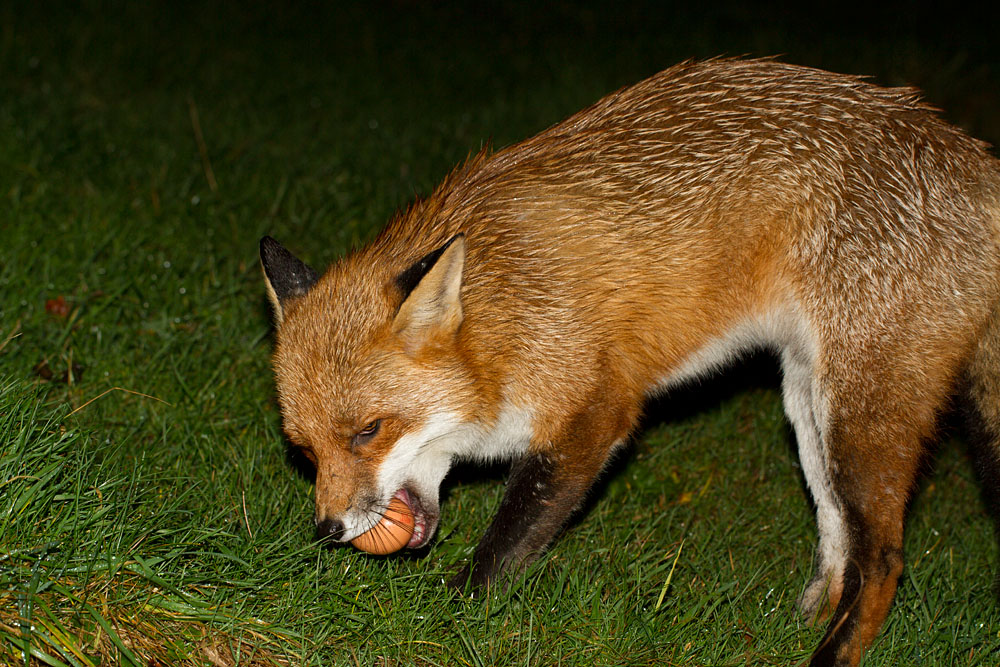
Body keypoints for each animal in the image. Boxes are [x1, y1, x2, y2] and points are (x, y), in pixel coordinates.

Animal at [259, 58, 1000, 666]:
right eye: (305, 450)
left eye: (368, 431)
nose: (328, 529)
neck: (504, 313)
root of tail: (972, 156)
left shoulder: (595, 411)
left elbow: (506, 542)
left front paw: (447, 616)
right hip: (808, 405)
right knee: (839, 537)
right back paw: (805, 621)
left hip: (858, 415)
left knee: (885, 559)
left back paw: (831, 654)